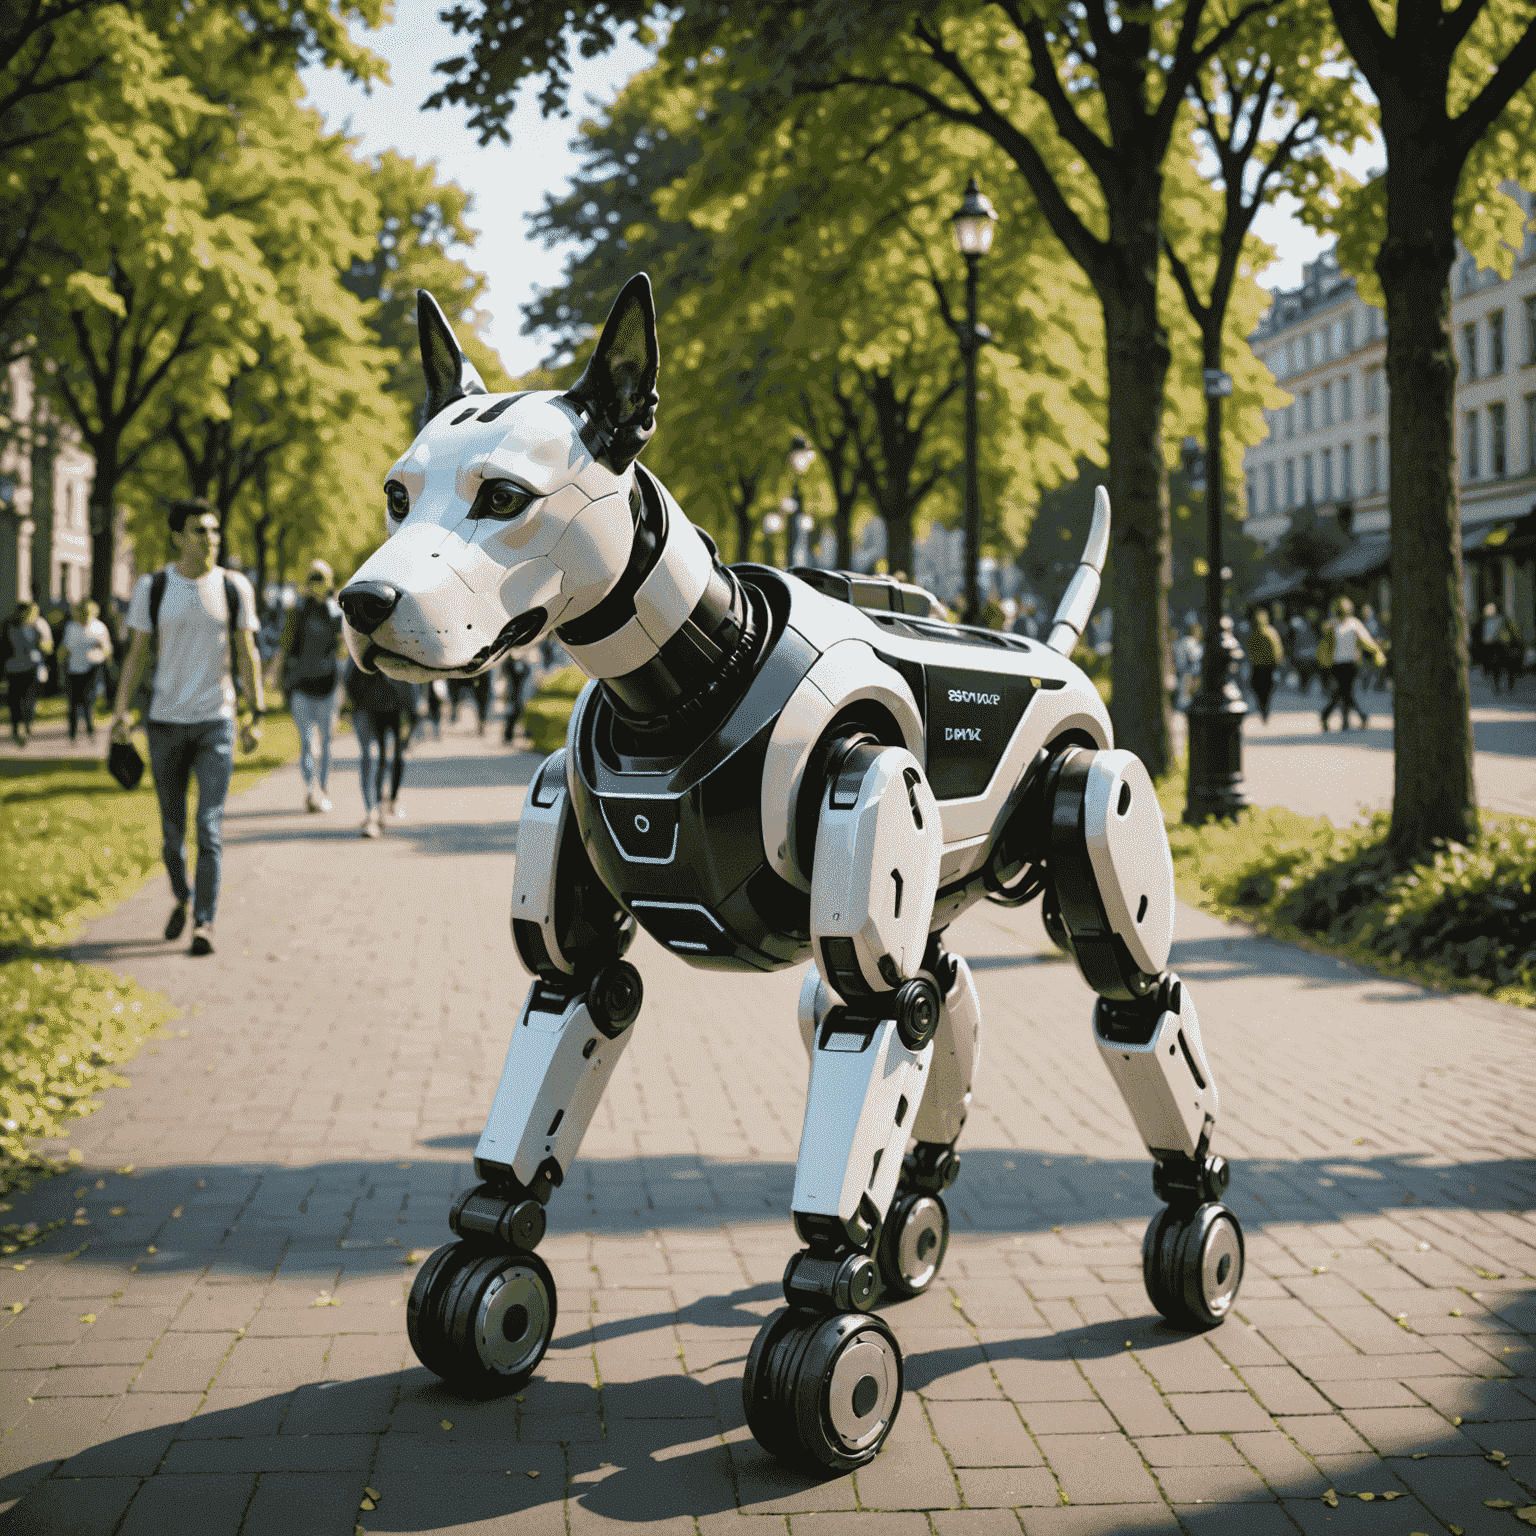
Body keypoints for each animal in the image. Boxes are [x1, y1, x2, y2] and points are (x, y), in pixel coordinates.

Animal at [342, 273, 1241, 1462]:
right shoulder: (570, 848)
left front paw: (834, 1359)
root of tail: (1053, 651)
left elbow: (879, 1013)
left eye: (502, 495)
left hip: (1081, 801)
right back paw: (911, 1221)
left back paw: (1202, 1236)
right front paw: (495, 1290)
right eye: (397, 495)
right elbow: (580, 989)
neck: (691, 672)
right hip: (931, 897)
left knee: (1106, 994)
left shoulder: (866, 785)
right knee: (937, 990)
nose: (360, 608)